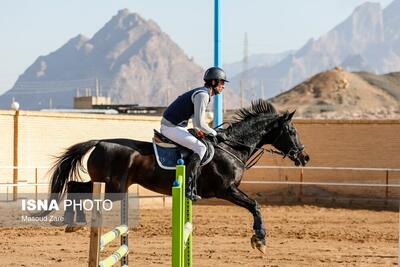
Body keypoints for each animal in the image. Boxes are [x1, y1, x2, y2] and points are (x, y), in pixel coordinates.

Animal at [42, 100, 310, 253]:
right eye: (291, 131)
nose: (304, 157)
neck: (232, 147)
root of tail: (99, 142)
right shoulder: (226, 190)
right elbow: (255, 205)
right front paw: (259, 239)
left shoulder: (229, 191)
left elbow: (254, 205)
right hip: (113, 188)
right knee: (77, 187)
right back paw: (73, 221)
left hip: (112, 186)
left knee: (75, 185)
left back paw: (72, 222)